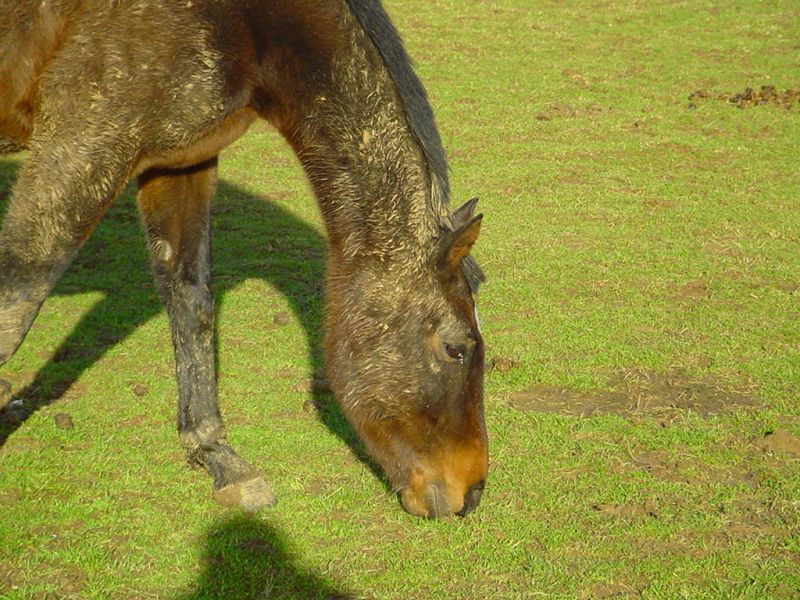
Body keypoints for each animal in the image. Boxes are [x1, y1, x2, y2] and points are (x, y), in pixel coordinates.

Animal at [0, 0, 487, 518]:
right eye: (456, 348)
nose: (472, 492)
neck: (251, 26)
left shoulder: (180, 160)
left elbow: (191, 302)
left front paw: (216, 455)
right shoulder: (79, 148)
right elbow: (15, 305)